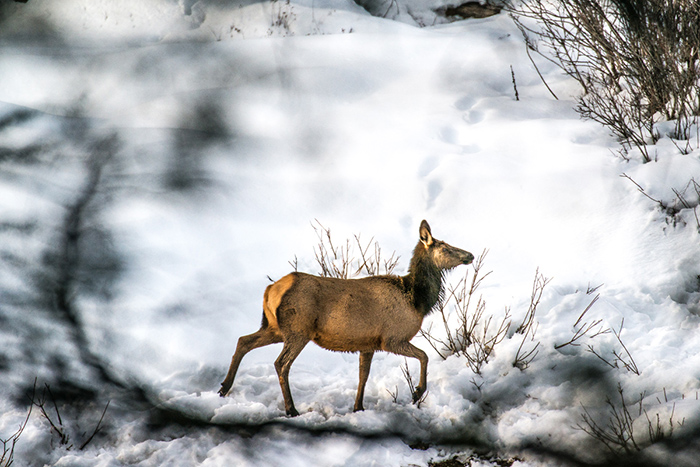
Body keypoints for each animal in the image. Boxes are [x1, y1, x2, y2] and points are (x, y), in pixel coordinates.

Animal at [216, 220, 474, 416]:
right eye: (446, 248)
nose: (470, 254)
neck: (417, 300)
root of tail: (270, 290)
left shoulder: (368, 343)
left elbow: (363, 376)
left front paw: (358, 407)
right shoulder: (391, 338)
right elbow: (424, 355)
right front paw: (418, 391)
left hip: (274, 327)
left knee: (243, 340)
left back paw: (224, 387)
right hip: (298, 330)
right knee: (281, 363)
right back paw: (291, 409)